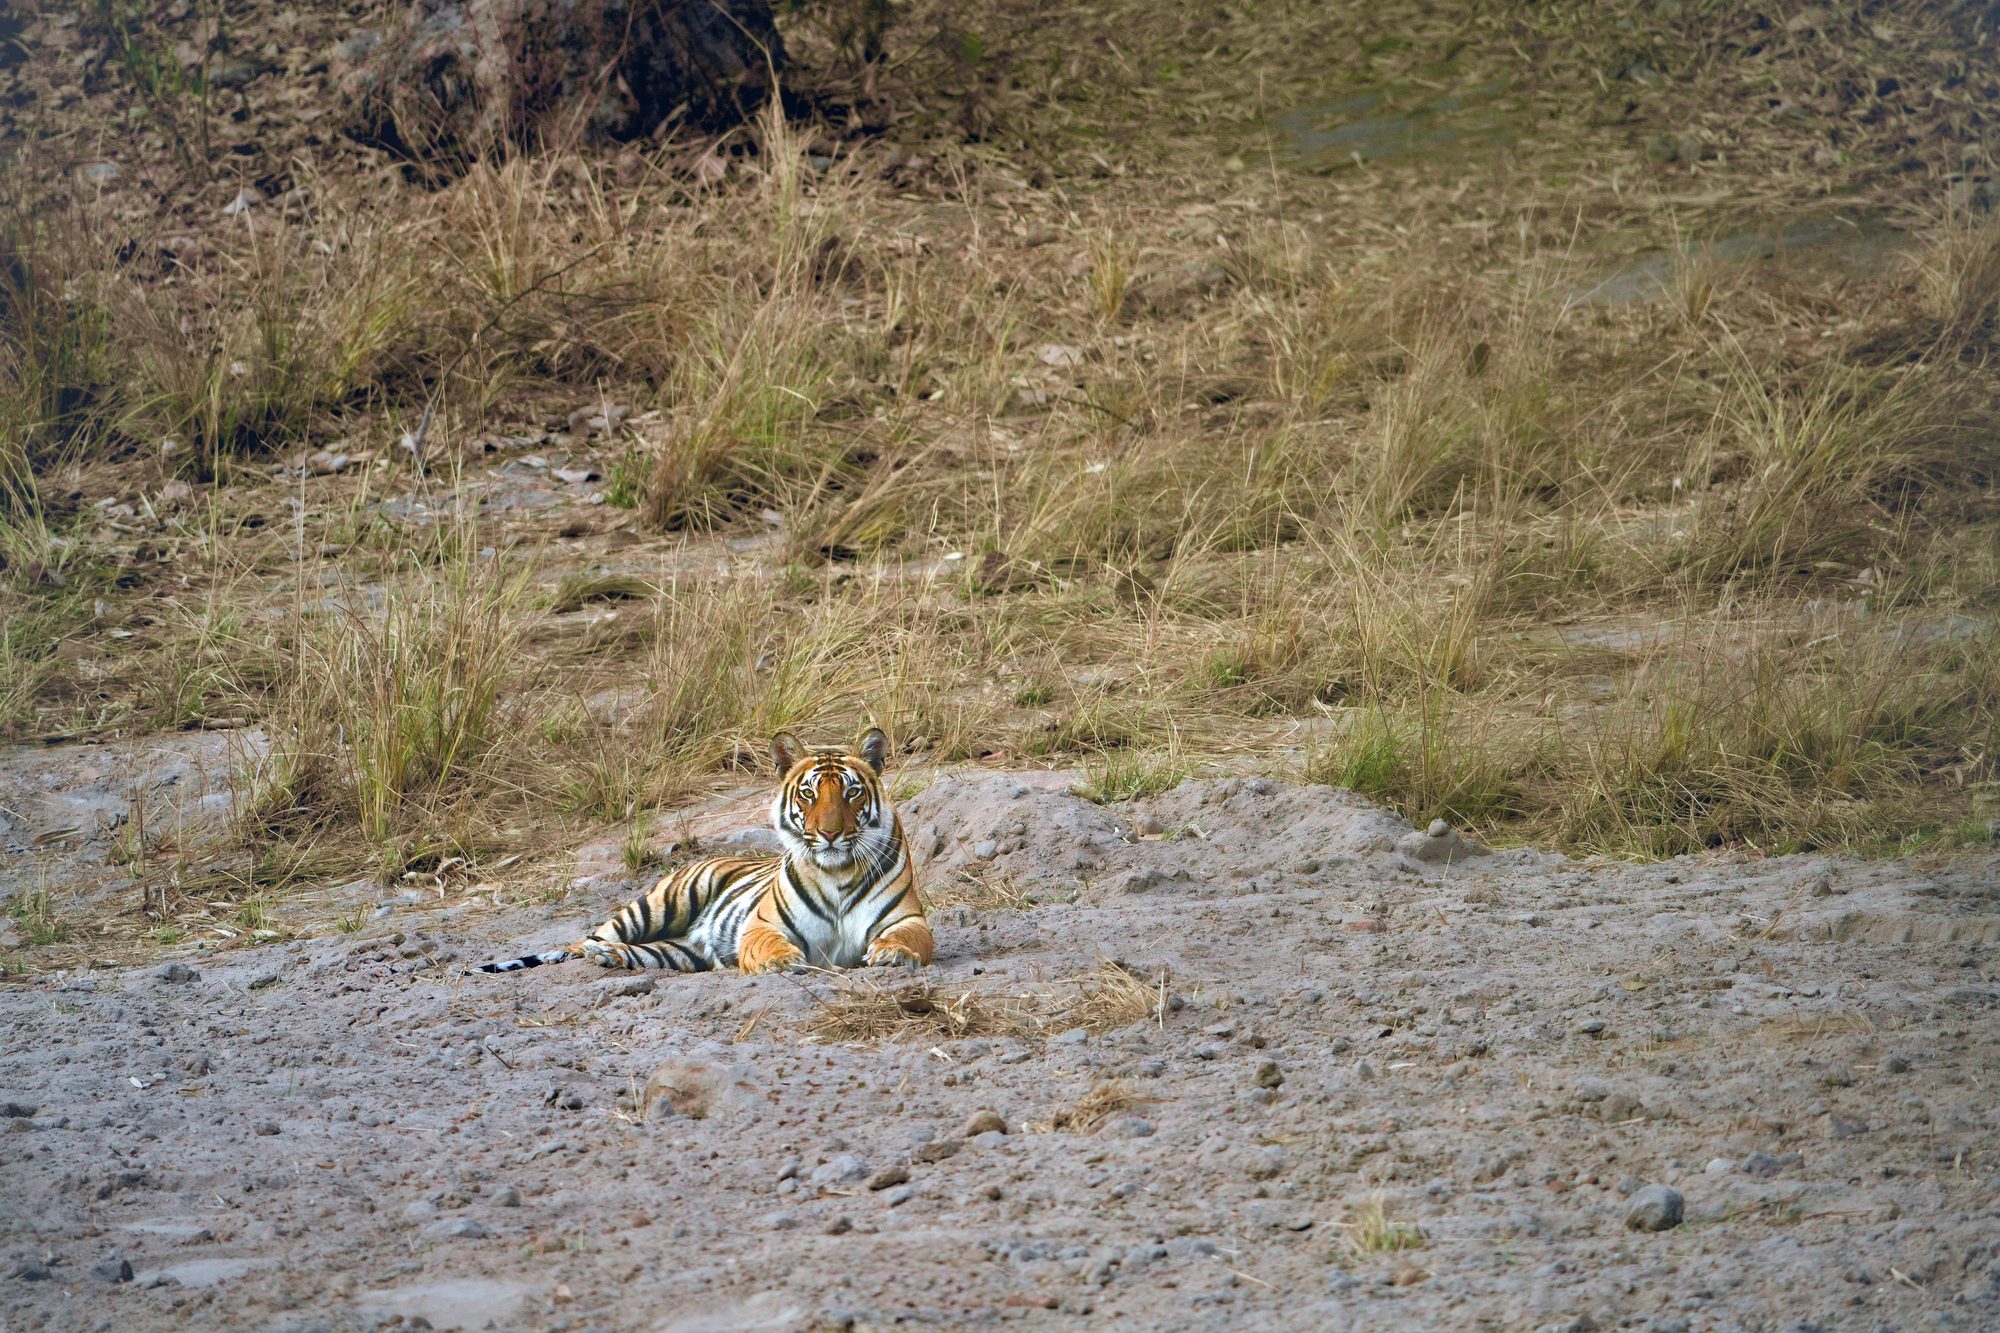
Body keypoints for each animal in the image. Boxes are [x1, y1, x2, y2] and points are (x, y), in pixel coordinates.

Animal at [474, 727, 932, 976]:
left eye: (852, 793)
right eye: (808, 793)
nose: (831, 833)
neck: (836, 873)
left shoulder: (907, 919)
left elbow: (908, 938)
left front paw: (894, 954)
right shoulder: (763, 925)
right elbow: (770, 945)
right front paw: (780, 963)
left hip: (677, 952)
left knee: (636, 953)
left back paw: (609, 957)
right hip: (658, 905)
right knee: (584, 939)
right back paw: (586, 951)